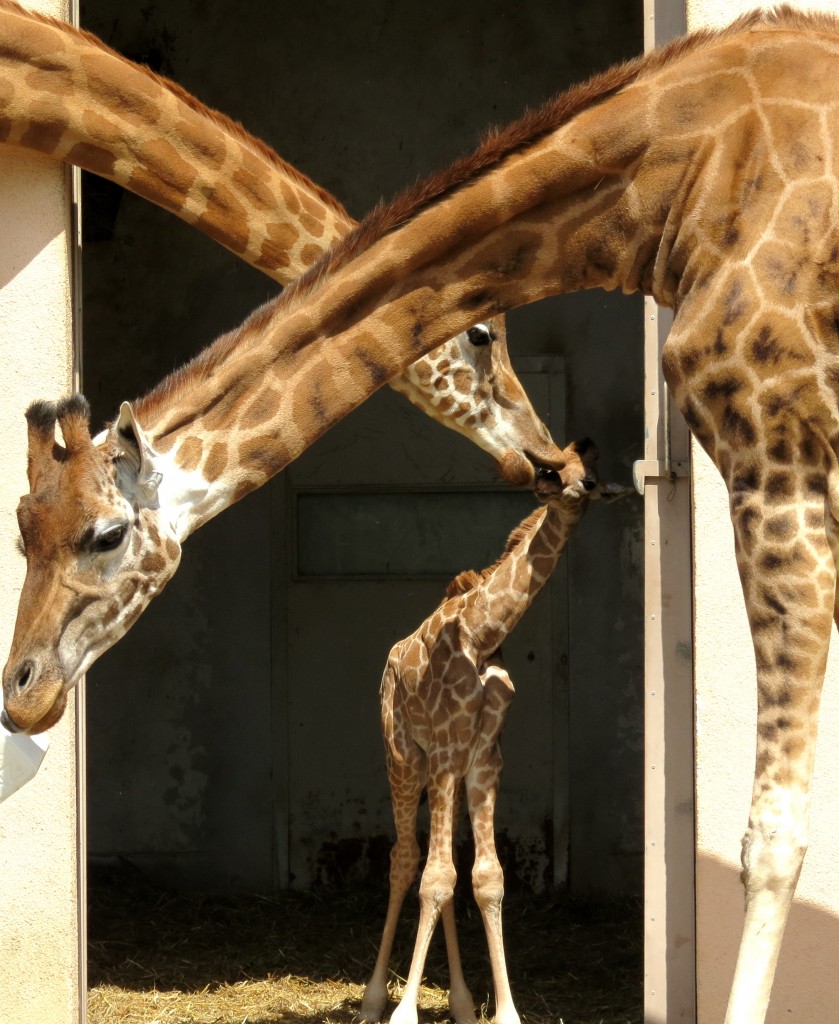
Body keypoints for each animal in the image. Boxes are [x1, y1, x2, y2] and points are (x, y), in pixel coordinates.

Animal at [362, 438, 602, 1024]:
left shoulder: (483, 759)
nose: (585, 490)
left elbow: (484, 879)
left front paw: (504, 1011)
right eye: (553, 474)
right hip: (404, 757)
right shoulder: (447, 752)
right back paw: (373, 1001)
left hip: (438, 771)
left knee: (442, 865)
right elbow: (434, 877)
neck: (481, 632)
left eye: (590, 469)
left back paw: (464, 1002)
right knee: (406, 860)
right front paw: (404, 1013)